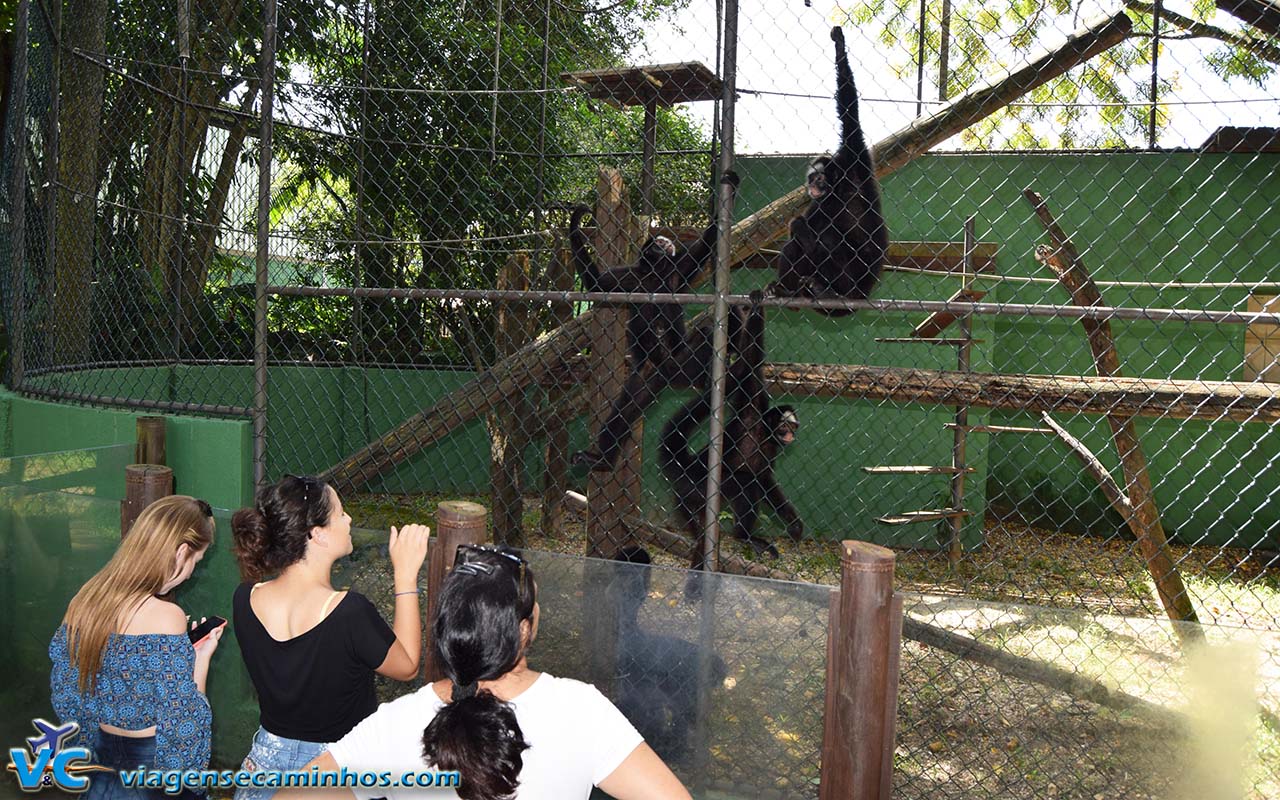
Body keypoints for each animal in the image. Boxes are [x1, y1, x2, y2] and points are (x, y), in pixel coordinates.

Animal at [570, 168, 742, 468]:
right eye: (659, 242)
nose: (666, 242)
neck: (654, 275)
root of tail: (671, 376)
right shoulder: (629, 277)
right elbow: (597, 285)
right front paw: (575, 223)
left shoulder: (677, 270)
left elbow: (706, 246)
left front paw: (729, 188)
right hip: (648, 375)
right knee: (626, 408)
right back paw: (601, 460)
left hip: (684, 359)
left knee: (706, 333)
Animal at [660, 293, 798, 573]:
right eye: (784, 426)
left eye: (792, 427)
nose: (790, 435)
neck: (764, 433)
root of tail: (687, 467)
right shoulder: (751, 407)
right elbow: (752, 359)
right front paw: (756, 307)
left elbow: (765, 479)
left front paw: (793, 523)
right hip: (700, 488)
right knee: (746, 483)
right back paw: (743, 536)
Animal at [768, 24, 890, 314]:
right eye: (812, 178)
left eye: (820, 178)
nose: (812, 186)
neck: (841, 190)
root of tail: (861, 295)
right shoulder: (822, 200)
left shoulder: (855, 159)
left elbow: (849, 110)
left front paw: (839, 47)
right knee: (799, 237)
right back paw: (789, 291)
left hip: (847, 281)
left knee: (826, 237)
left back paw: (826, 291)